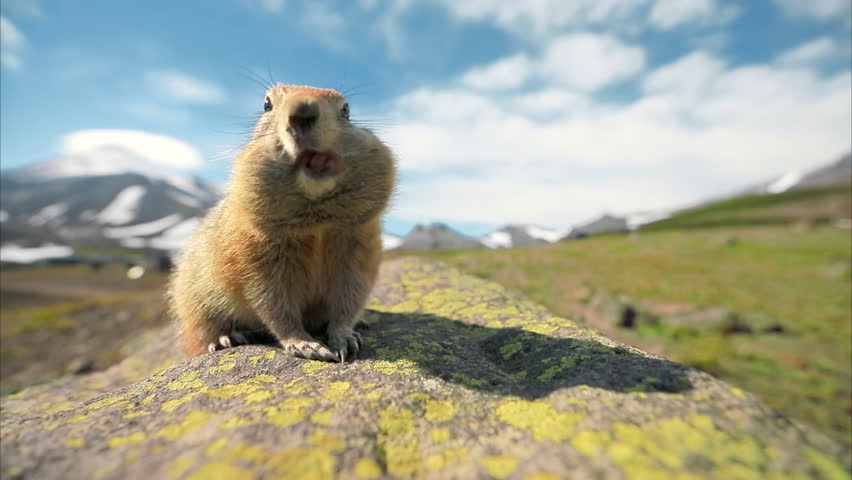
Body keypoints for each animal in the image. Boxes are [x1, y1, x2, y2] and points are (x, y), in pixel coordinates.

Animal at [168, 84, 398, 362]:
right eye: (267, 104)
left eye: (346, 109)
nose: (303, 111)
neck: (317, 225)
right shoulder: (257, 256)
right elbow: (275, 305)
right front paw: (306, 345)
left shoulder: (360, 246)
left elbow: (349, 298)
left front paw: (345, 337)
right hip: (195, 302)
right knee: (202, 331)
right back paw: (226, 338)